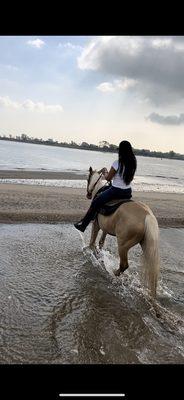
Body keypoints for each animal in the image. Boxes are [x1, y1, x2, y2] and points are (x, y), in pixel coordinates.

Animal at [86, 167, 160, 298]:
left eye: (87, 179)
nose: (88, 194)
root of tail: (147, 215)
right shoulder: (105, 229)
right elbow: (101, 242)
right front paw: (100, 253)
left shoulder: (96, 225)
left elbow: (92, 240)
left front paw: (91, 251)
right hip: (146, 245)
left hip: (123, 245)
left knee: (124, 265)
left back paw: (113, 273)